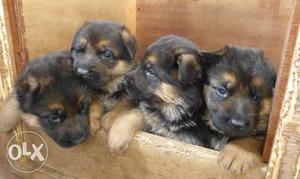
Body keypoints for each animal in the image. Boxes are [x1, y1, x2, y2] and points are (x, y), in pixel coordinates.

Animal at [70, 20, 141, 152]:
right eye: (80, 50)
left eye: (107, 54)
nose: (81, 73)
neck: (108, 87)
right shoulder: (93, 92)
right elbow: (93, 103)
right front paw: (91, 119)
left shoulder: (130, 96)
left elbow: (123, 105)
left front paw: (110, 117)